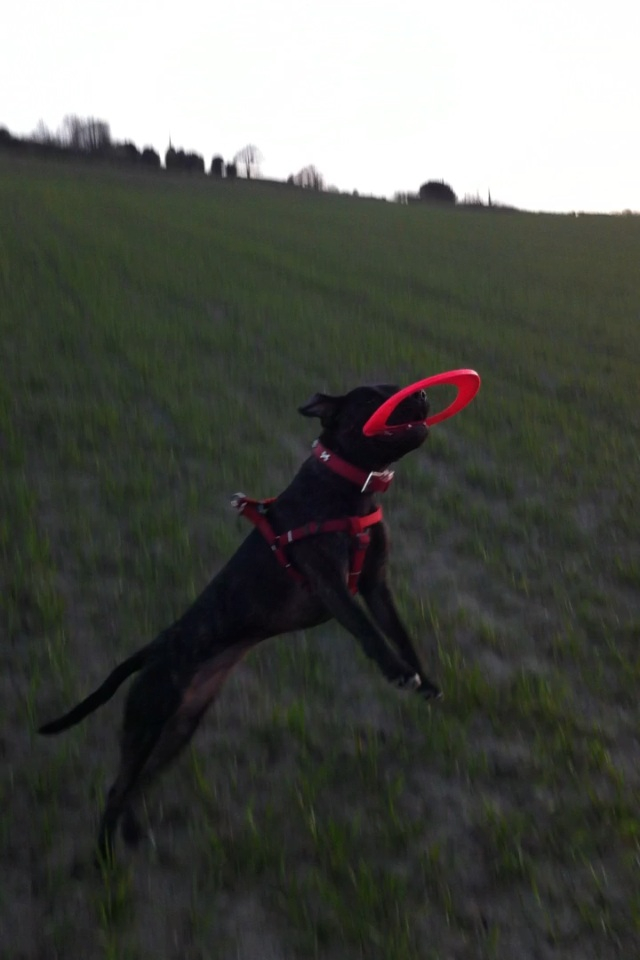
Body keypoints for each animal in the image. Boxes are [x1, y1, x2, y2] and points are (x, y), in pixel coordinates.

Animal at [38, 386, 440, 860]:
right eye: (377, 395)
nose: (424, 393)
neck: (349, 488)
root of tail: (155, 648)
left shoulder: (377, 585)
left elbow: (400, 633)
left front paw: (424, 679)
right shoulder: (331, 585)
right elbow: (368, 632)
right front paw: (397, 672)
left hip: (181, 728)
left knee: (142, 781)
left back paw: (133, 831)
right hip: (147, 722)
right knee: (119, 787)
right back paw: (103, 856)